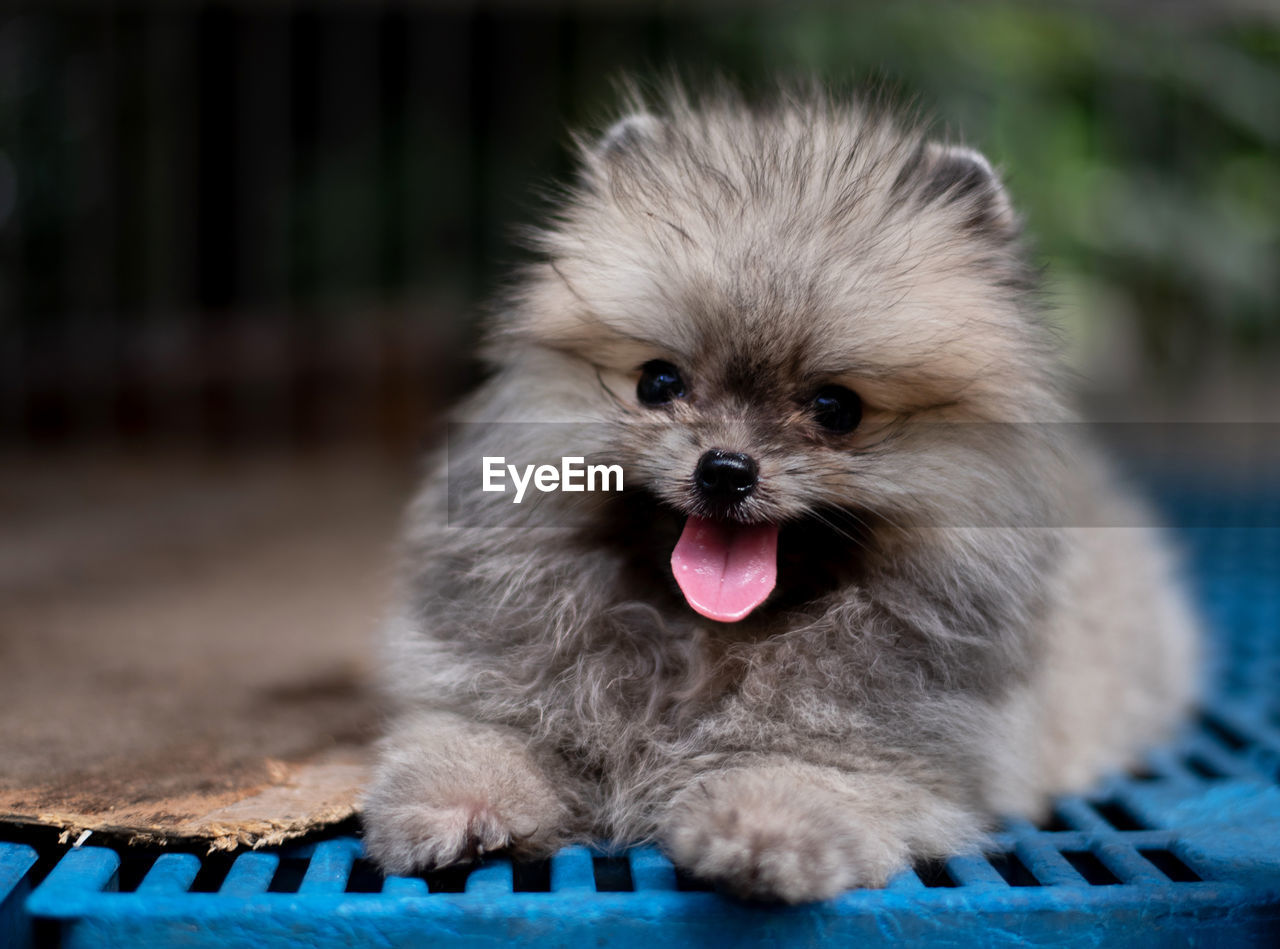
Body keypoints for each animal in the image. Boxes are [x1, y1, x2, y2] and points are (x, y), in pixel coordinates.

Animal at [363, 85, 1198, 901]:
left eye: (836, 408)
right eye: (657, 383)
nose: (725, 468)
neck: (702, 638)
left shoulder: (885, 752)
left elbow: (809, 770)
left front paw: (764, 826)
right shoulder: (497, 690)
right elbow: (479, 735)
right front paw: (459, 802)